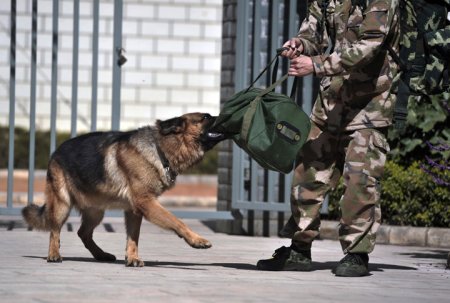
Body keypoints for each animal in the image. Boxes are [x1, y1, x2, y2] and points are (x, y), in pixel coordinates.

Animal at [22, 113, 225, 268]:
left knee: (83, 233)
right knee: (54, 230)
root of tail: (56, 151)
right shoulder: (146, 203)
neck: (160, 149)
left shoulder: (134, 210)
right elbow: (177, 221)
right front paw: (197, 240)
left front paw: (132, 258)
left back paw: (101, 254)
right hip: (62, 205)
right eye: (206, 117)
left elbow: (133, 237)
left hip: (96, 211)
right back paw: (54, 254)